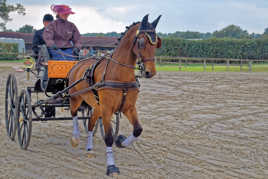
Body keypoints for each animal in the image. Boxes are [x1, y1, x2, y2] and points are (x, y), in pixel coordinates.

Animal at [68, 14, 162, 176]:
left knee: (91, 123)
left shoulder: (128, 108)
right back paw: (75, 138)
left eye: (156, 44)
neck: (119, 76)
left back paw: (89, 148)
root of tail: (78, 64)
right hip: (76, 98)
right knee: (74, 114)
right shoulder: (107, 110)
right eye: (141, 42)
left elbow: (137, 130)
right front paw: (111, 166)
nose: (150, 72)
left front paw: (122, 142)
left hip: (96, 106)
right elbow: (109, 137)